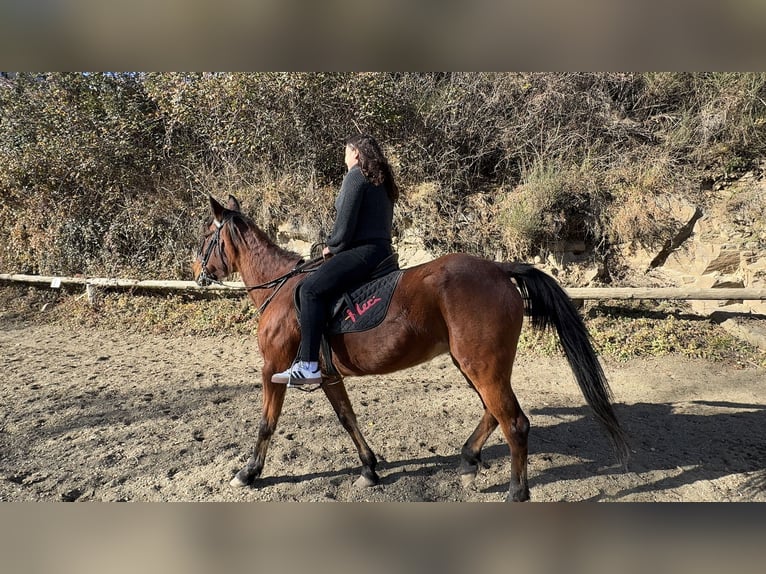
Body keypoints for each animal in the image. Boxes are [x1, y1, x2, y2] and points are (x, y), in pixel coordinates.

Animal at [192, 194, 629, 501]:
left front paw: (248, 473)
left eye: (205, 238)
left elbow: (267, 423)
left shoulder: (273, 367)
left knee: (515, 422)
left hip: (480, 365)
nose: (197, 273)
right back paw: (468, 459)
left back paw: (515, 493)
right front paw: (369, 469)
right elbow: (348, 419)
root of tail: (498, 269)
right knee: (495, 412)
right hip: (474, 364)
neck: (281, 290)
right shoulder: (329, 376)